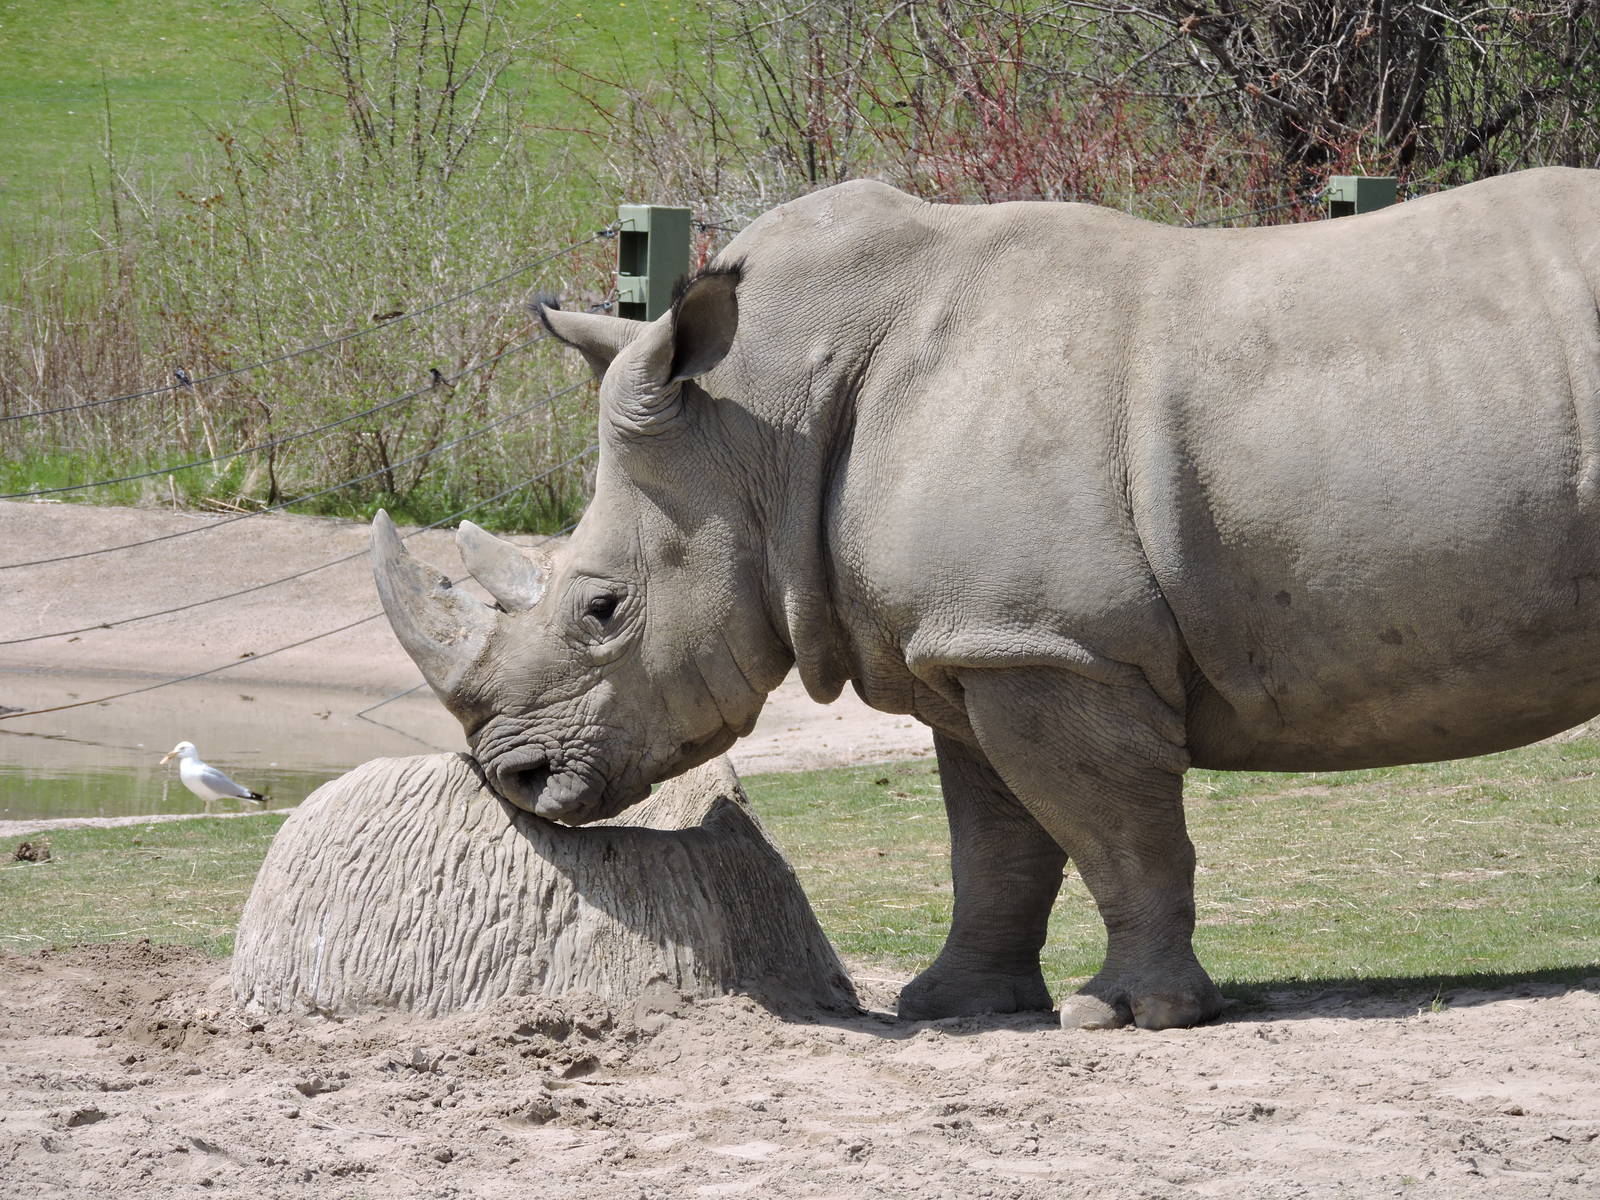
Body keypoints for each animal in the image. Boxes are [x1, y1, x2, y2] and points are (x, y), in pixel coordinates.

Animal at [373, 167, 1600, 1030]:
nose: (515, 779)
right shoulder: (974, 644)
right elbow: (998, 842)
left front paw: (1129, 1016)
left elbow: (1114, 831)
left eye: (602, 611)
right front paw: (950, 1005)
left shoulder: (1051, 647)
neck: (761, 426)